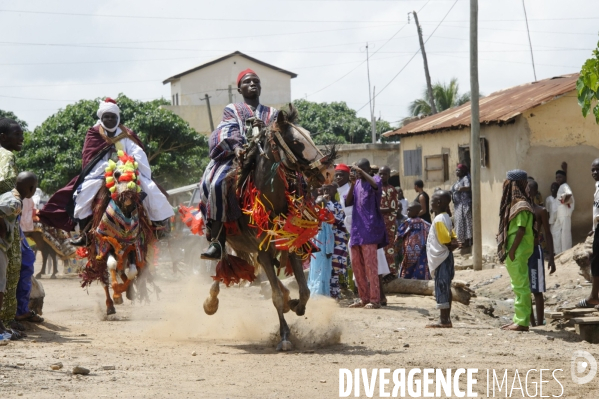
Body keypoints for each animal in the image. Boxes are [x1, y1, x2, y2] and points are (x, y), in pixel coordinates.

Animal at [203, 106, 338, 354]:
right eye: (295, 141)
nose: (328, 173)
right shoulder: (263, 251)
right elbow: (274, 296)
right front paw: (284, 335)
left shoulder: (289, 245)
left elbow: (304, 291)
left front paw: (294, 305)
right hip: (226, 241)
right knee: (221, 261)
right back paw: (211, 301)